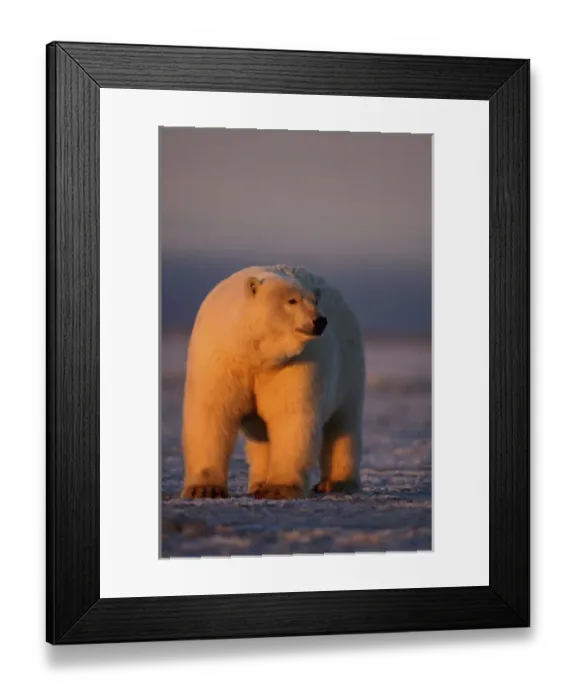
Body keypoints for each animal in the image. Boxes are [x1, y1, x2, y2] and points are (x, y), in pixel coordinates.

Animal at [179, 264, 365, 500]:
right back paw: (258, 483)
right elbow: (212, 412)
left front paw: (279, 488)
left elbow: (291, 415)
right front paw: (204, 489)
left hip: (349, 369)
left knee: (343, 424)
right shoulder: (222, 357)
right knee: (261, 433)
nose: (320, 321)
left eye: (315, 301)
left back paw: (336, 483)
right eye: (292, 300)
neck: (256, 354)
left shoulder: (293, 362)